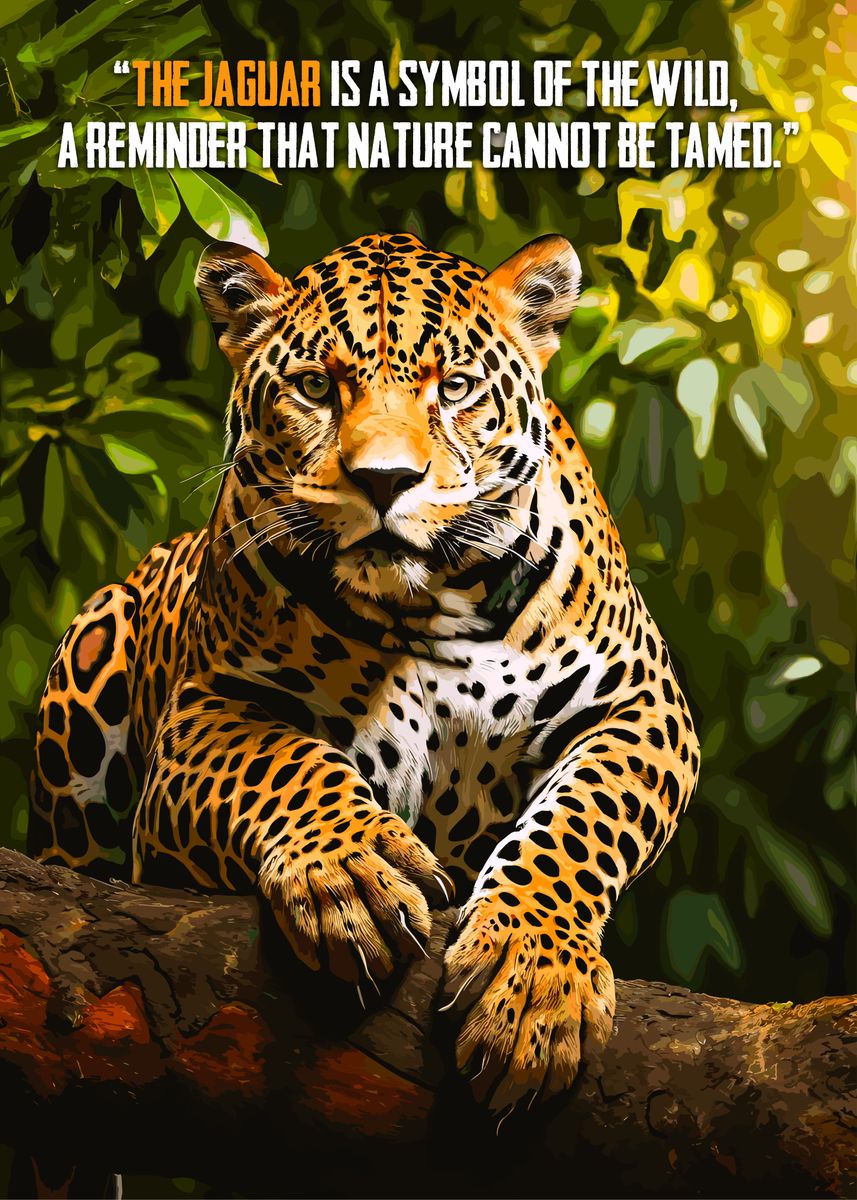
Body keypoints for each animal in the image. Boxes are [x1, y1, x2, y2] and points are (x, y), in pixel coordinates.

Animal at [29, 231, 699, 1113]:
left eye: (454, 388)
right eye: (316, 386)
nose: (385, 481)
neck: (424, 609)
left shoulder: (641, 703)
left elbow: (580, 821)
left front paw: (532, 978)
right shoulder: (207, 708)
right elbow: (285, 763)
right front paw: (352, 871)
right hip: (93, 643)